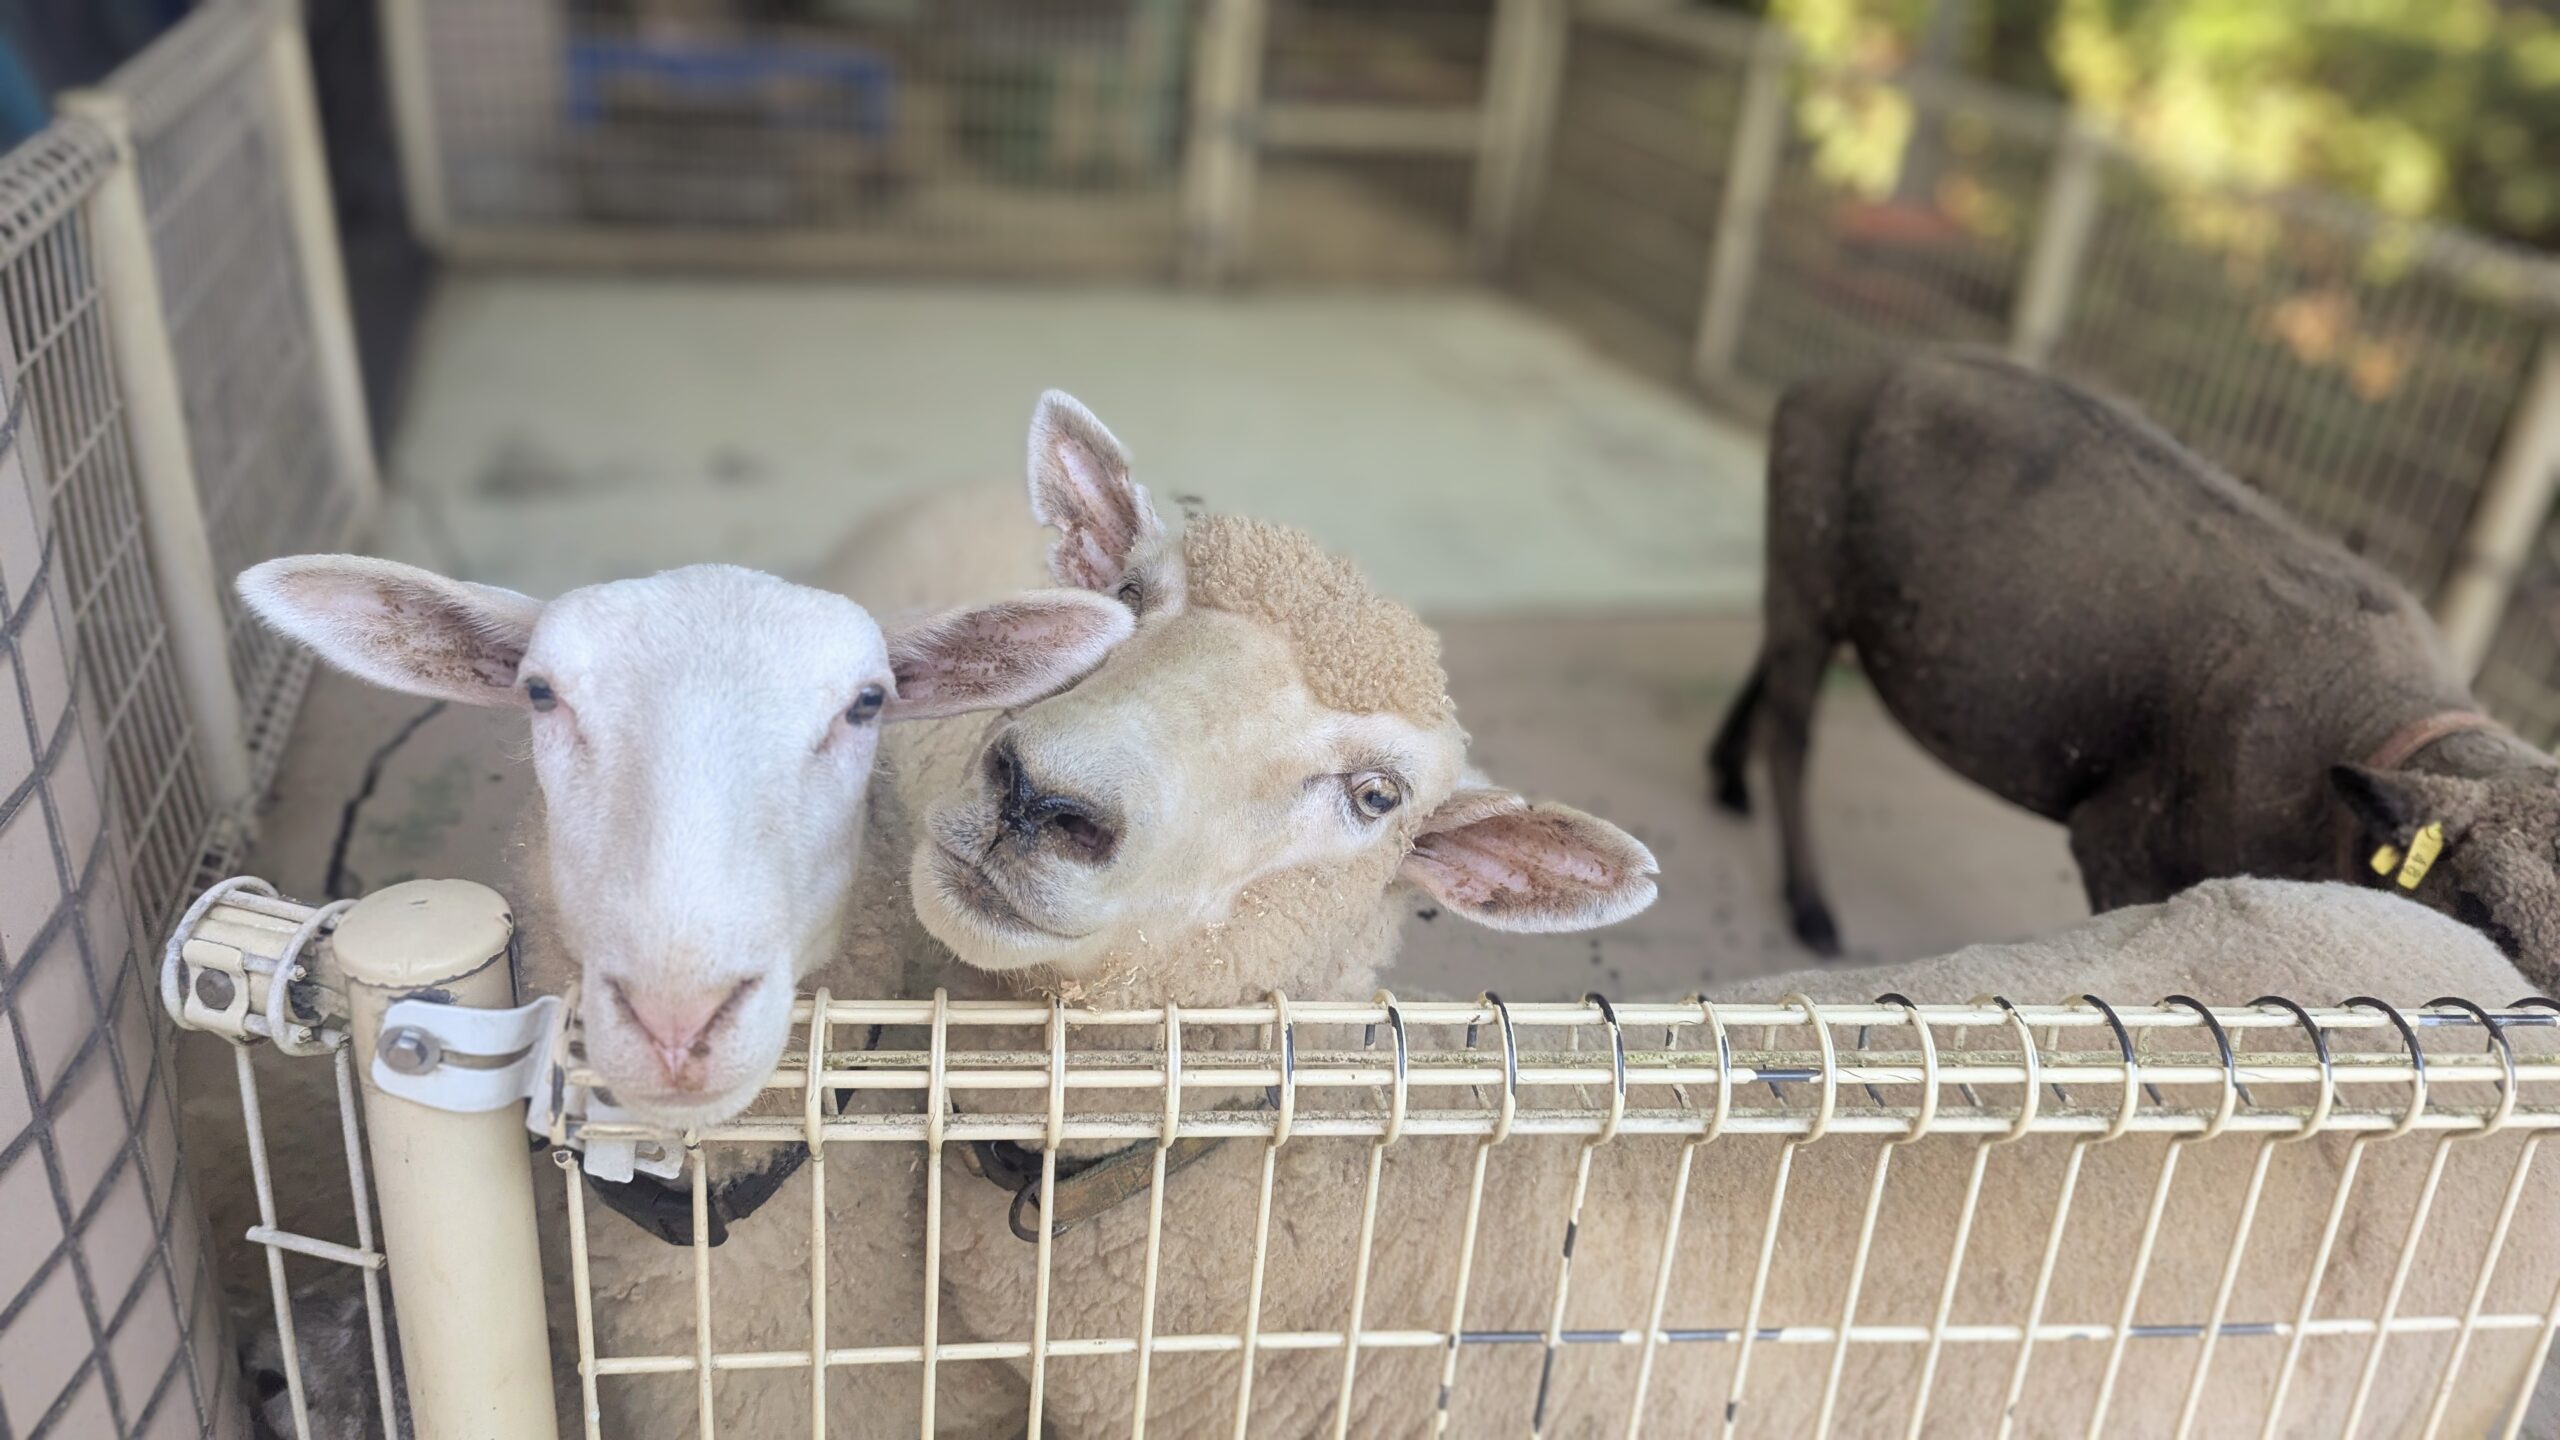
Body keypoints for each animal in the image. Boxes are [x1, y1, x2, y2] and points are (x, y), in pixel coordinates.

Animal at [1703, 347, 2560, 988]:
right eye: (2483, 912)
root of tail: (1836, 374)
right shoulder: (2119, 842)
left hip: (1817, 582)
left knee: (1766, 665)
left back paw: (1725, 776)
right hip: (1807, 562)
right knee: (1792, 730)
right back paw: (1809, 905)